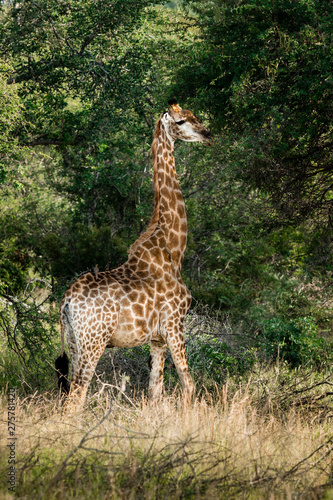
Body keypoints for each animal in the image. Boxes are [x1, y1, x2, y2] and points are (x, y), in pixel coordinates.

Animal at [54, 100, 210, 406]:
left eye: (195, 115)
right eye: (181, 121)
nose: (207, 134)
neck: (173, 248)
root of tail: (66, 302)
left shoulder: (157, 338)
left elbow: (155, 392)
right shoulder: (175, 324)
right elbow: (189, 385)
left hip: (76, 344)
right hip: (93, 342)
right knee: (76, 397)